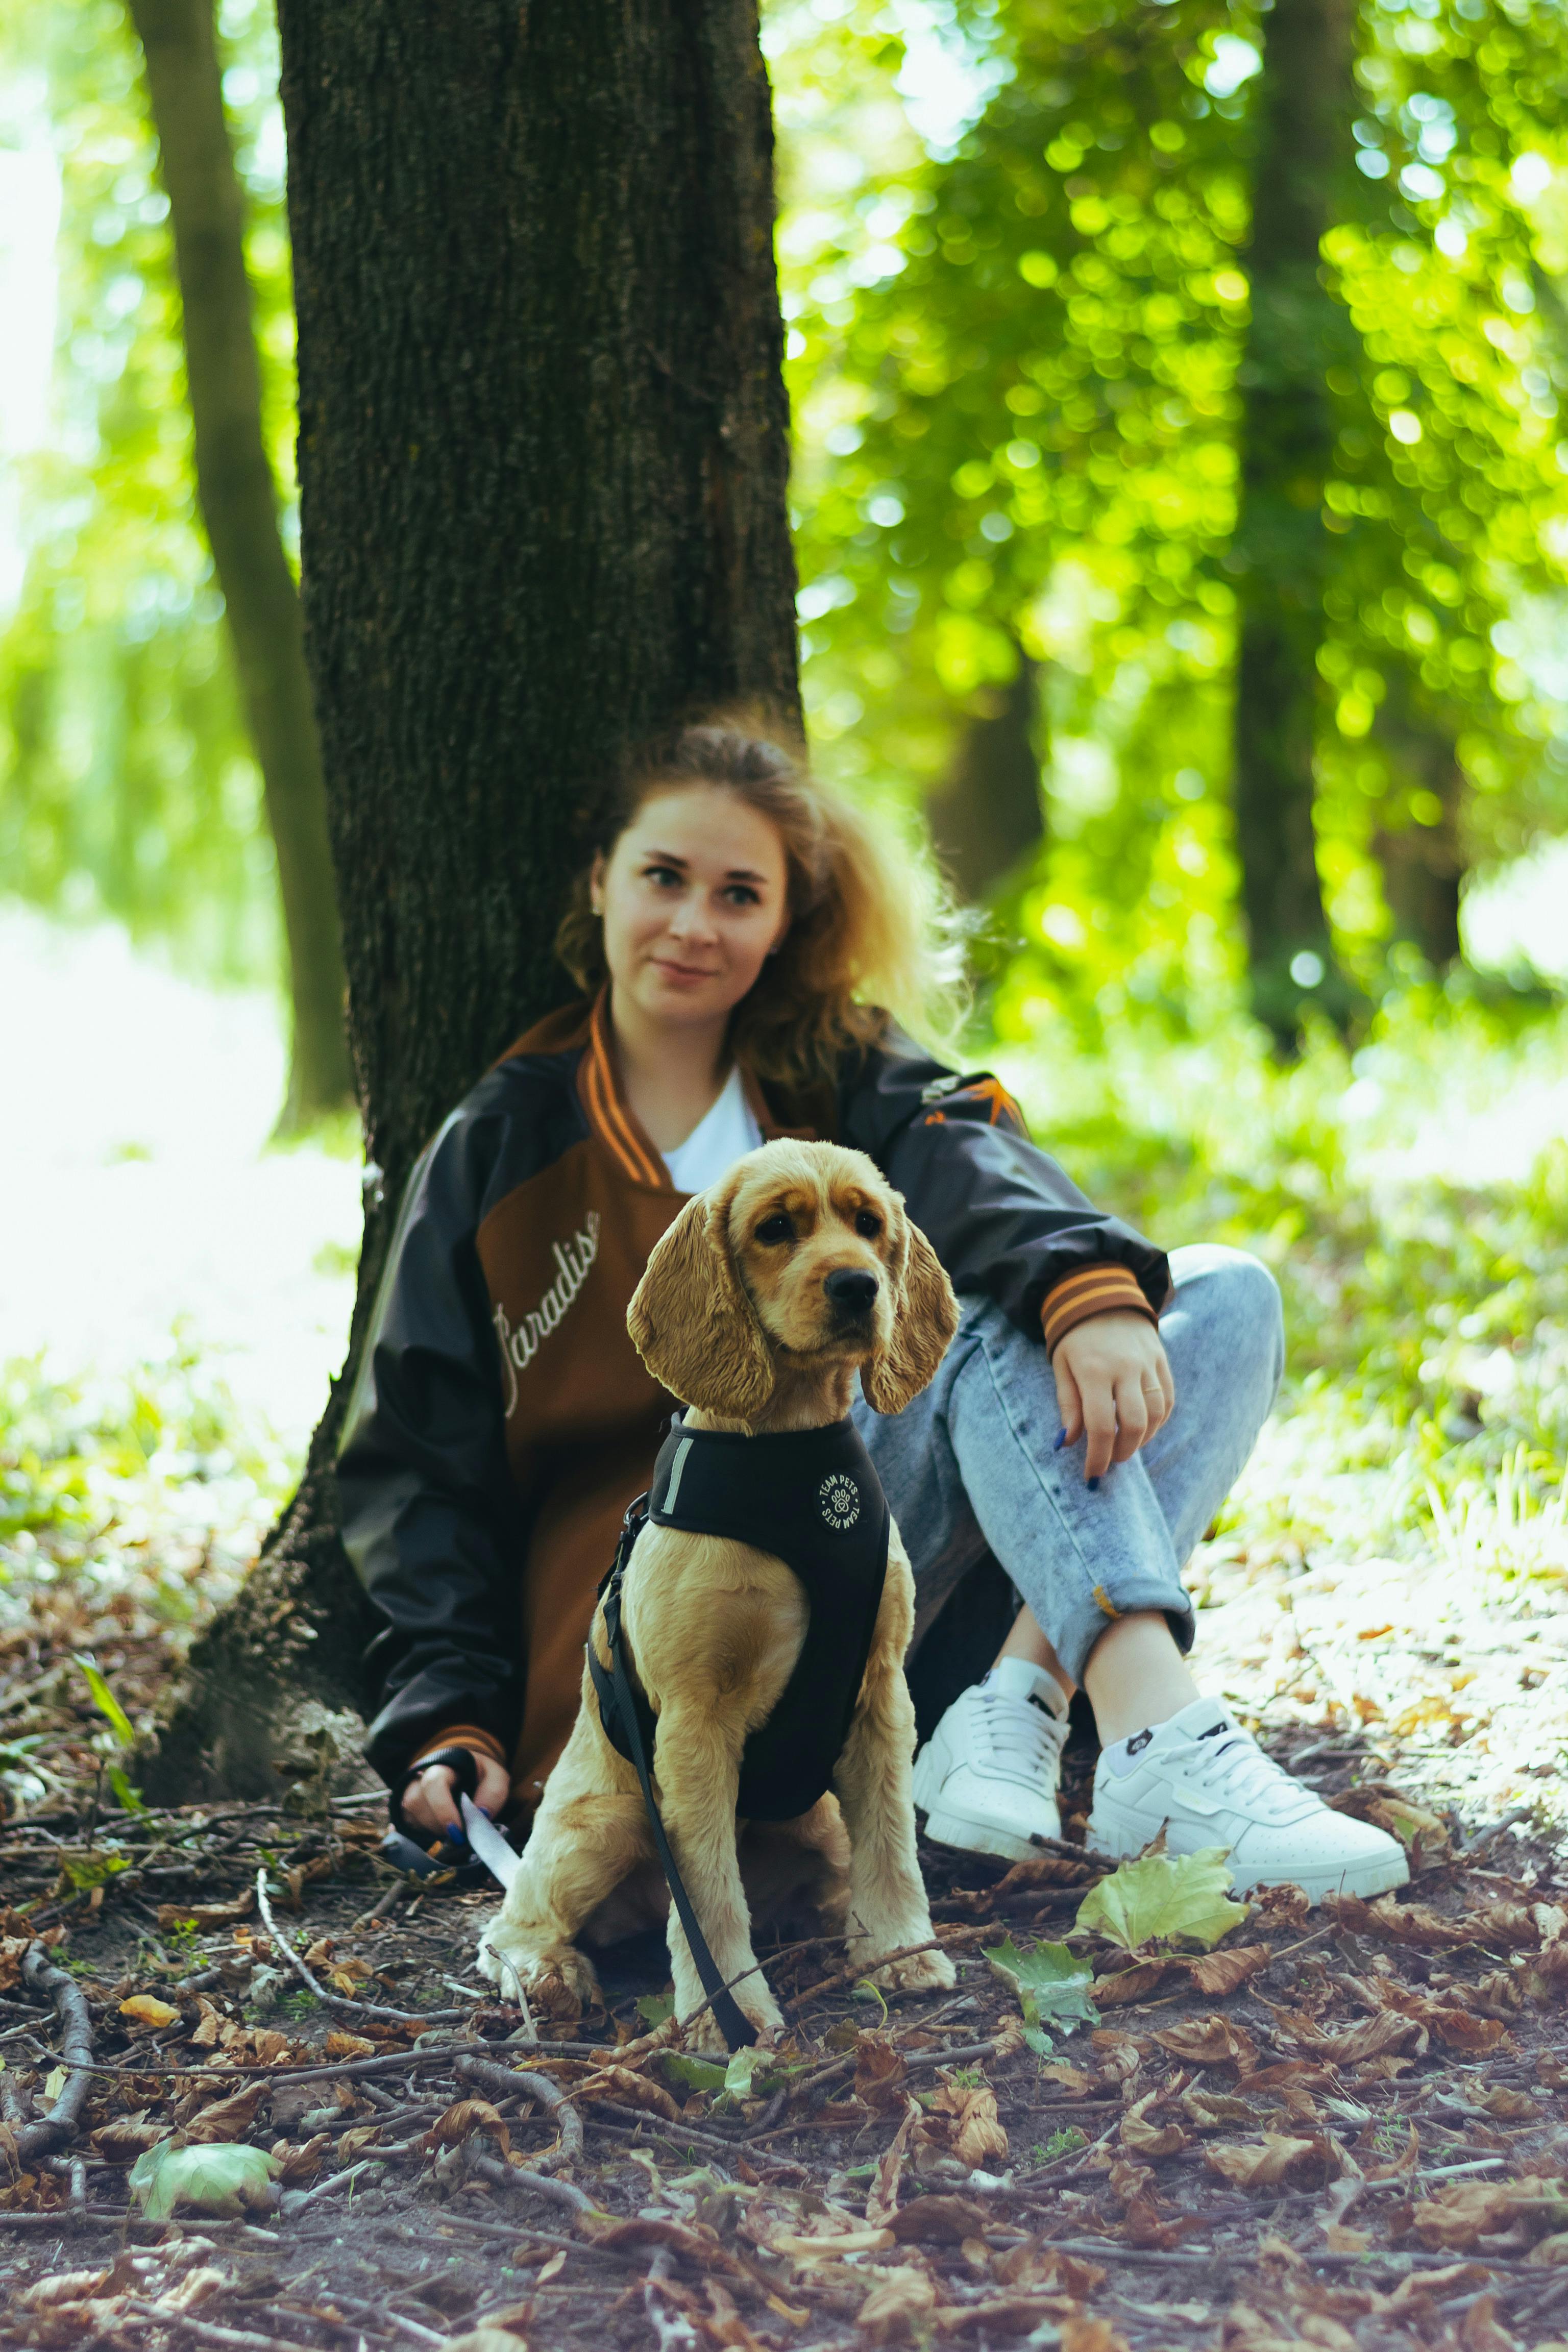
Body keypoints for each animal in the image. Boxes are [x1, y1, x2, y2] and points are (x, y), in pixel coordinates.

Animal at [479, 1134, 964, 2041]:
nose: (859, 1286)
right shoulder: (696, 1718)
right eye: (776, 1229)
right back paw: (552, 1975)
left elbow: (892, 1843)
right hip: (609, 1823)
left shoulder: (882, 1694)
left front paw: (900, 1951)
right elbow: (706, 1890)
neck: (794, 1456)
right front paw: (727, 2012)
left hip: (817, 1823)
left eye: (869, 1226)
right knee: (510, 1925)